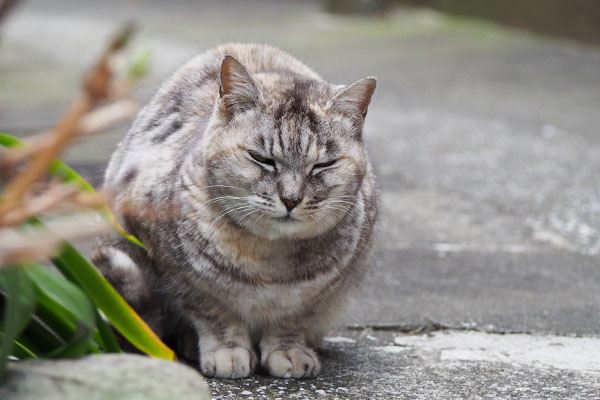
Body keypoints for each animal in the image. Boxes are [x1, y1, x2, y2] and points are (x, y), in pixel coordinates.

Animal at [91, 43, 378, 378]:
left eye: (323, 165)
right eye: (262, 159)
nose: (291, 199)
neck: (269, 259)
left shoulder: (321, 292)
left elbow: (291, 320)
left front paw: (289, 352)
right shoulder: (178, 271)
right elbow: (214, 314)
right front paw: (227, 352)